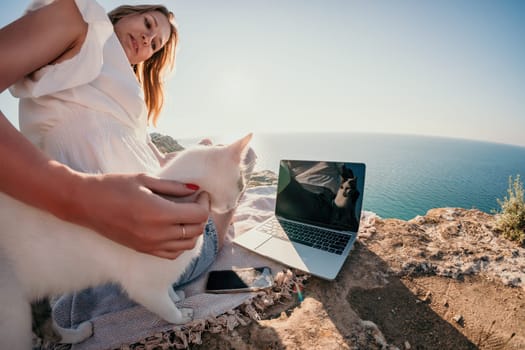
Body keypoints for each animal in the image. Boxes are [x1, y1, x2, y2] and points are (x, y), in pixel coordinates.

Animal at [0, 133, 254, 348]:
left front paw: (175, 297)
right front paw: (179, 315)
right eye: (241, 183)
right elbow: (164, 306)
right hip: (13, 312)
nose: (235, 203)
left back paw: (79, 334)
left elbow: (168, 288)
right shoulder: (144, 286)